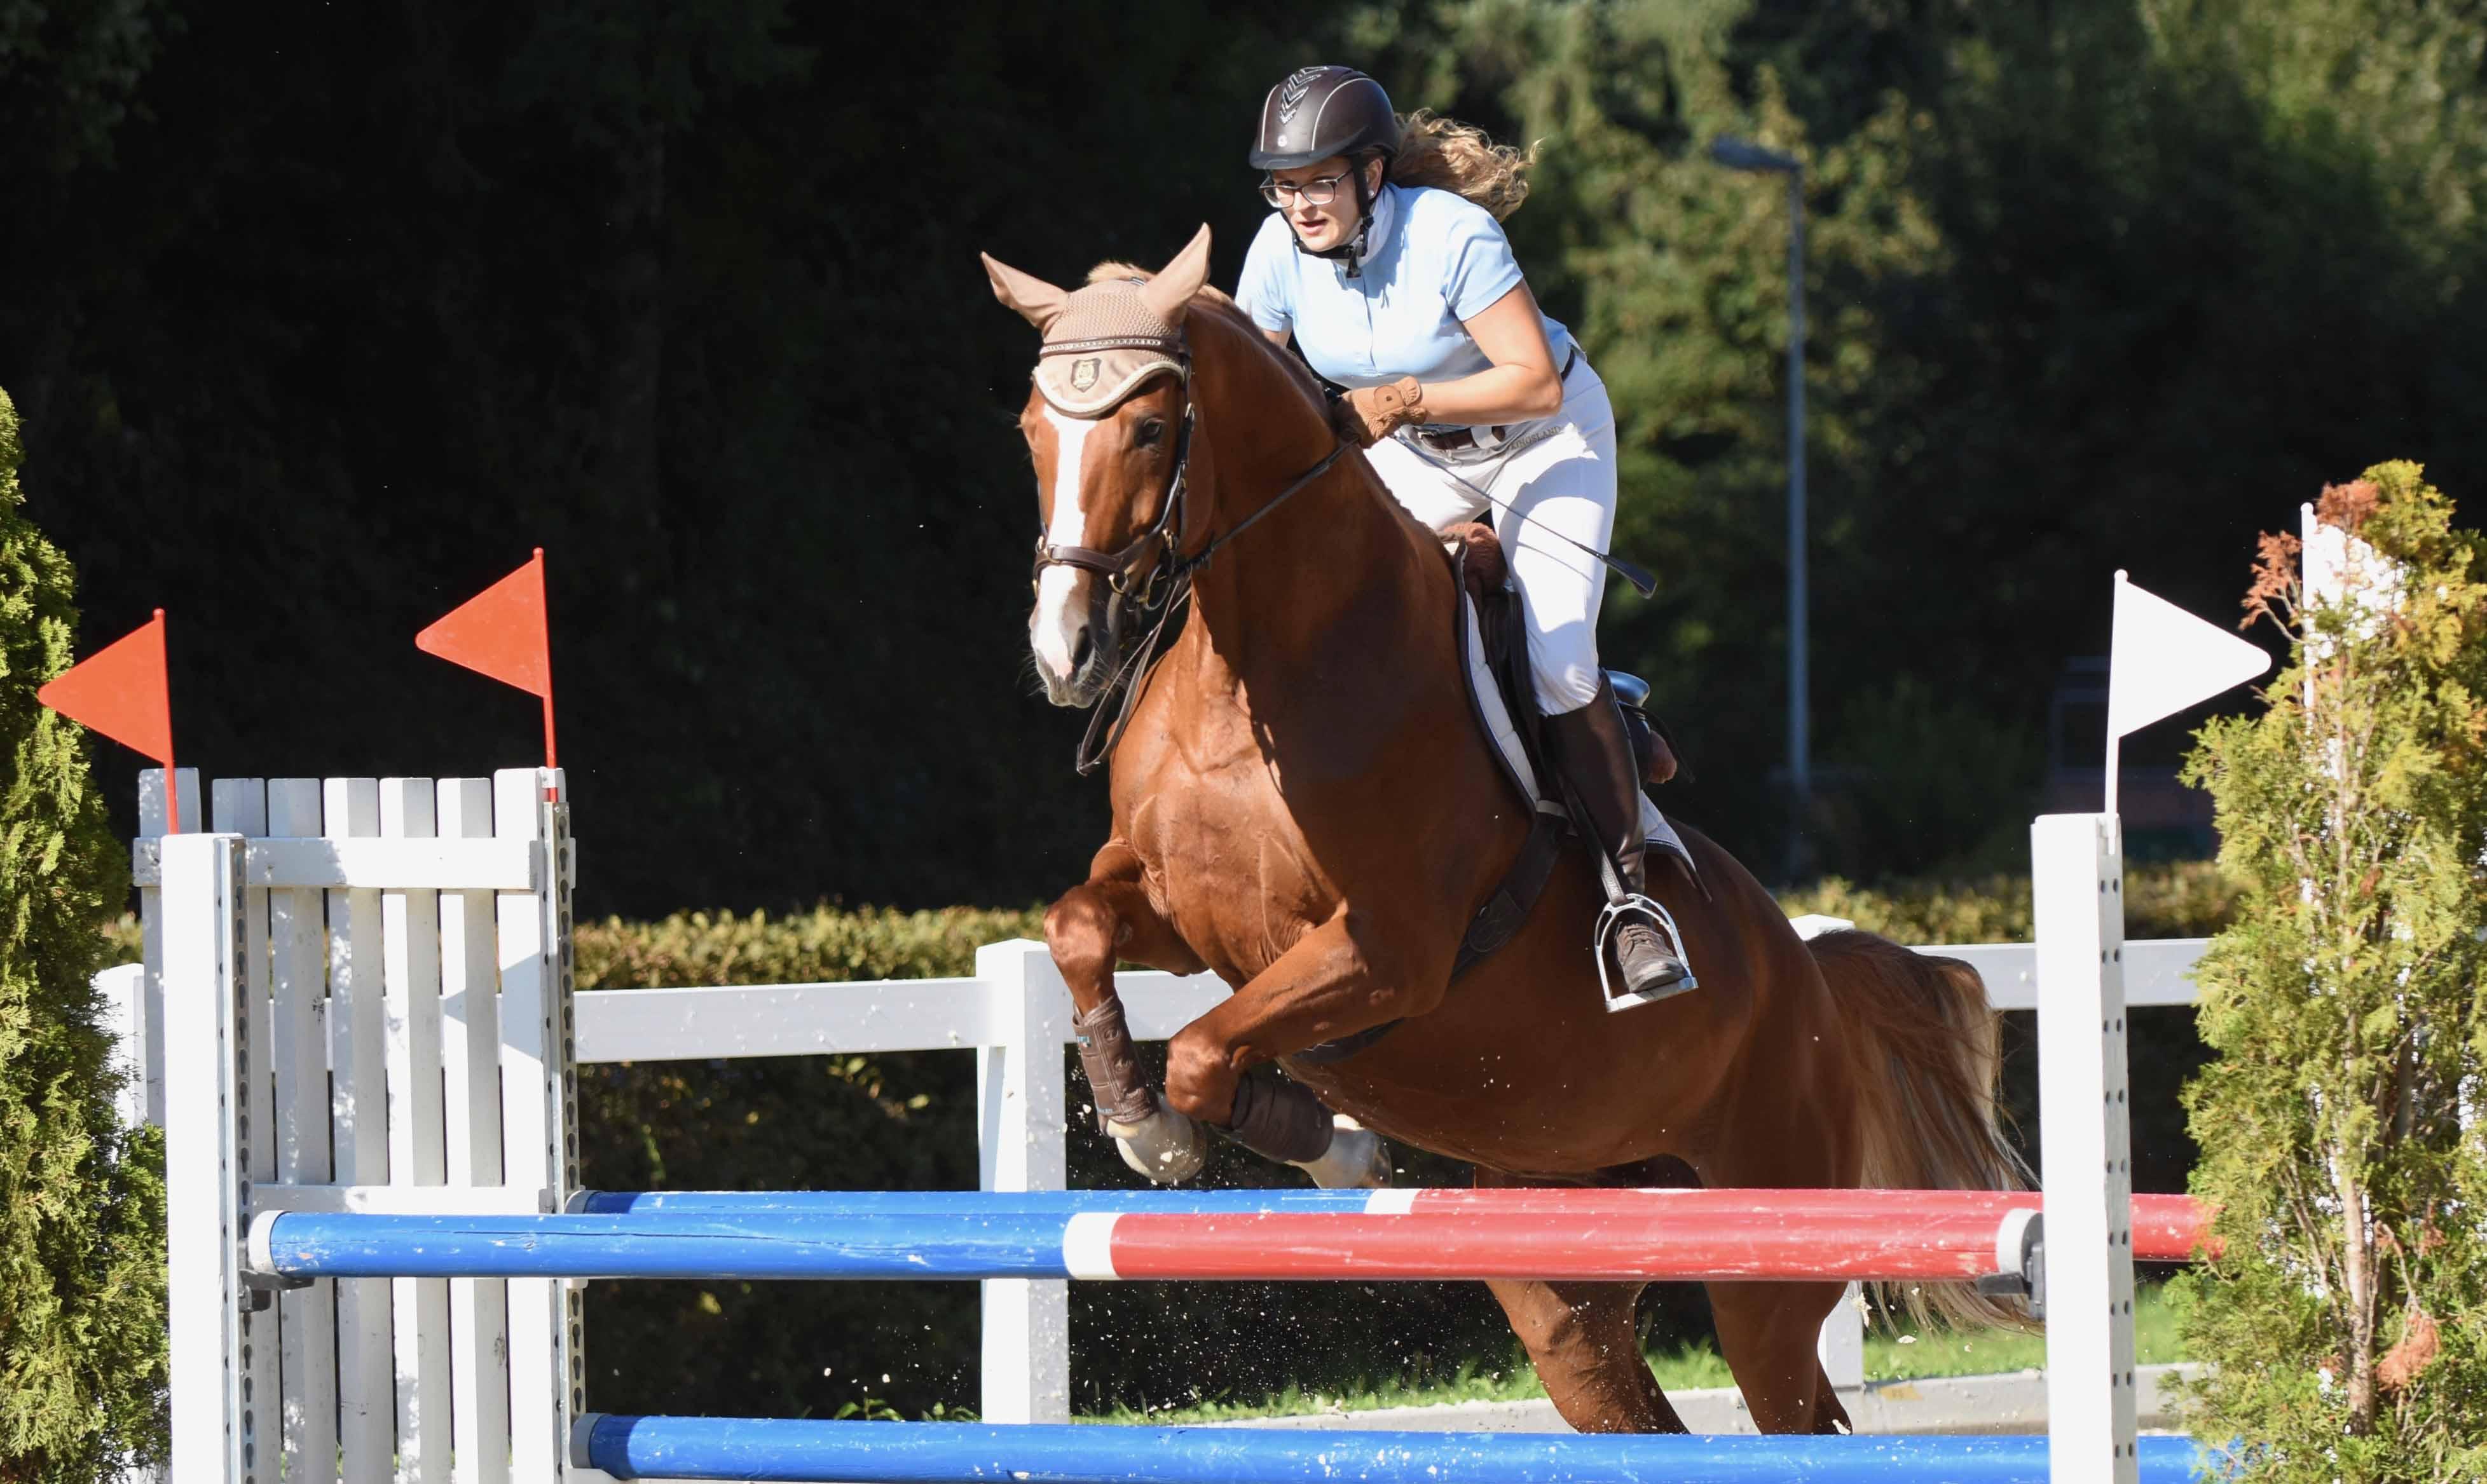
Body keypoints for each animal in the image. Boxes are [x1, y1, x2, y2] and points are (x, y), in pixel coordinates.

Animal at [975, 228, 2019, 1431]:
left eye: (1149, 427)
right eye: (1031, 430)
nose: (1065, 653)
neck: (1264, 664)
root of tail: (1806, 980)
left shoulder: (1391, 954)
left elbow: (1202, 1050)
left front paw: (1321, 1145)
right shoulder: (1187, 919)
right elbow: (1077, 928)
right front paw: (1142, 1120)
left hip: (1763, 1261)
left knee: (1789, 1407)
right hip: (1561, 1280)